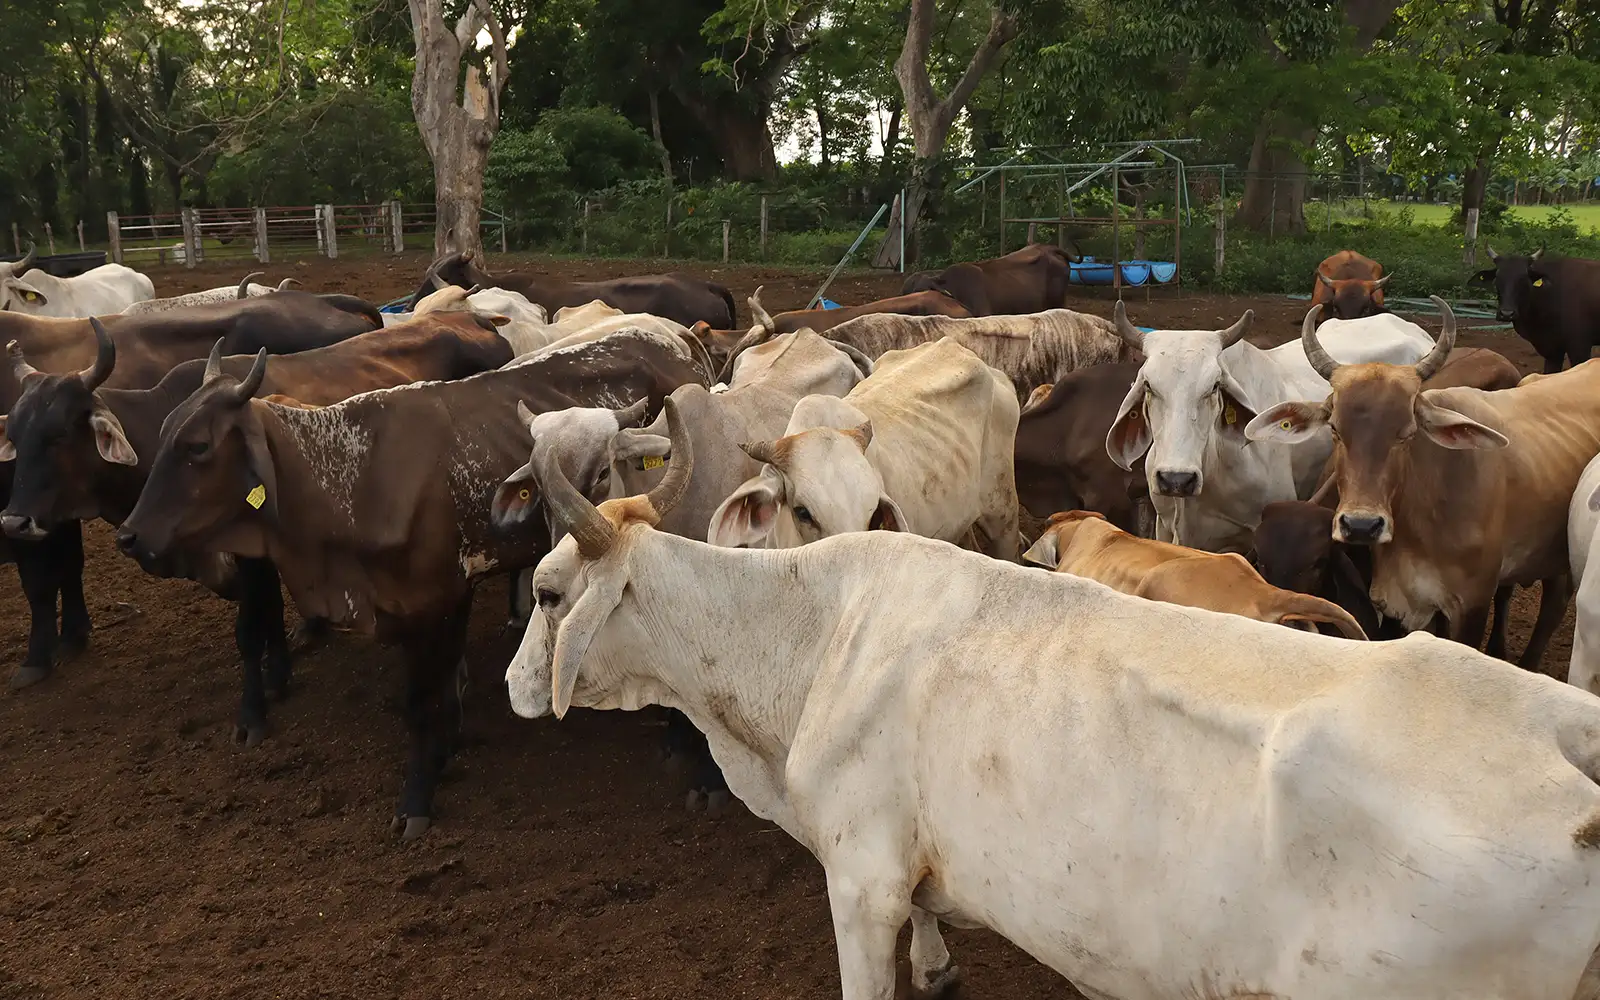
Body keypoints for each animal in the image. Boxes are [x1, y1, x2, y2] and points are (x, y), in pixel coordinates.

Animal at [114, 329, 708, 838]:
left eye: (196, 446)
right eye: (162, 434)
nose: (129, 535)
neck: (355, 479)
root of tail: (676, 341)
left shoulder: (432, 601)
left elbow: (421, 702)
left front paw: (416, 799)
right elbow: (438, 689)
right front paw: (448, 746)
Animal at [1246, 300, 1600, 670]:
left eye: (1407, 432)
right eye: (1334, 428)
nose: (1361, 526)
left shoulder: (1470, 607)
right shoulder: (1393, 603)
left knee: (1552, 607)